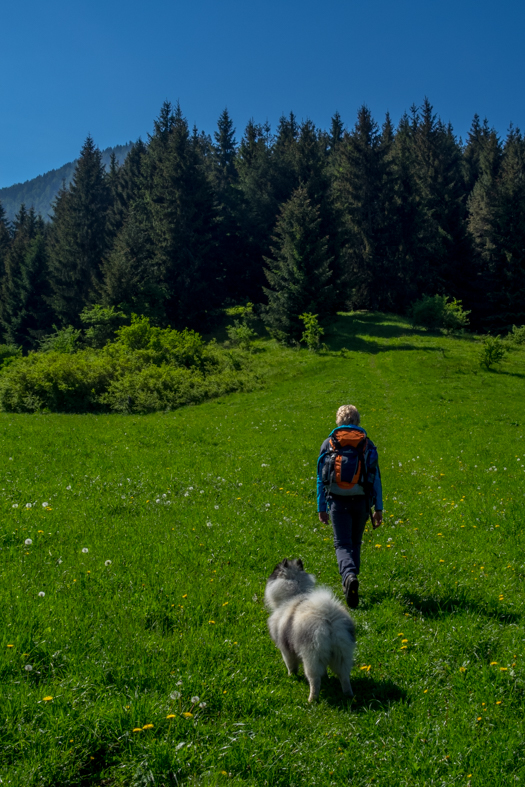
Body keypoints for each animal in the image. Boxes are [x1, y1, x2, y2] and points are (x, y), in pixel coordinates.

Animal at [264, 560, 354, 700]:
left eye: (275, 570)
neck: (294, 593)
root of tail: (328, 620)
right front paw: (326, 677)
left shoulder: (286, 650)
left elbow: (290, 665)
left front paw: (291, 676)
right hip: (342, 655)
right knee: (344, 677)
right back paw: (348, 694)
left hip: (311, 658)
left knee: (314, 680)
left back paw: (312, 699)